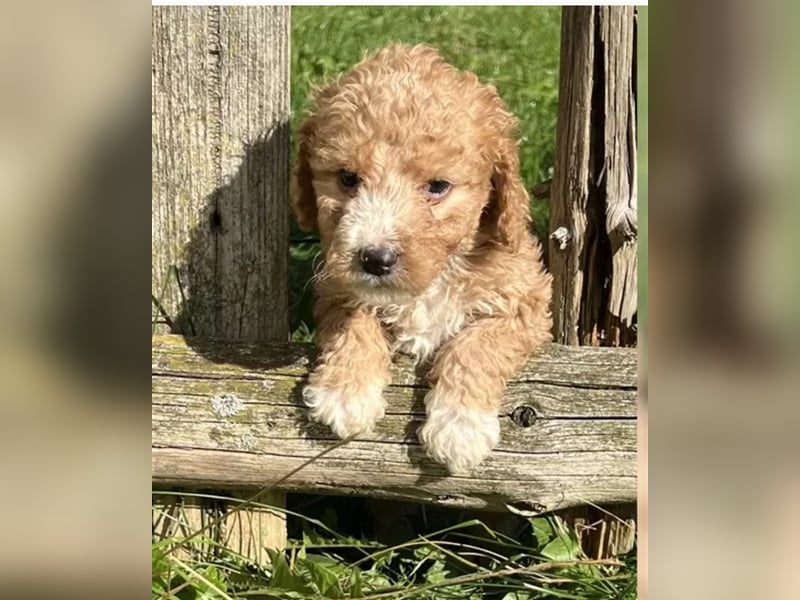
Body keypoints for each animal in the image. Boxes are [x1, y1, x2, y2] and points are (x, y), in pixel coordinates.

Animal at [292, 43, 552, 474]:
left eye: (438, 187)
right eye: (347, 178)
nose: (374, 259)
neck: (432, 282)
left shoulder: (525, 301)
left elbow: (478, 344)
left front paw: (460, 427)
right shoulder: (334, 283)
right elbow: (352, 319)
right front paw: (343, 392)